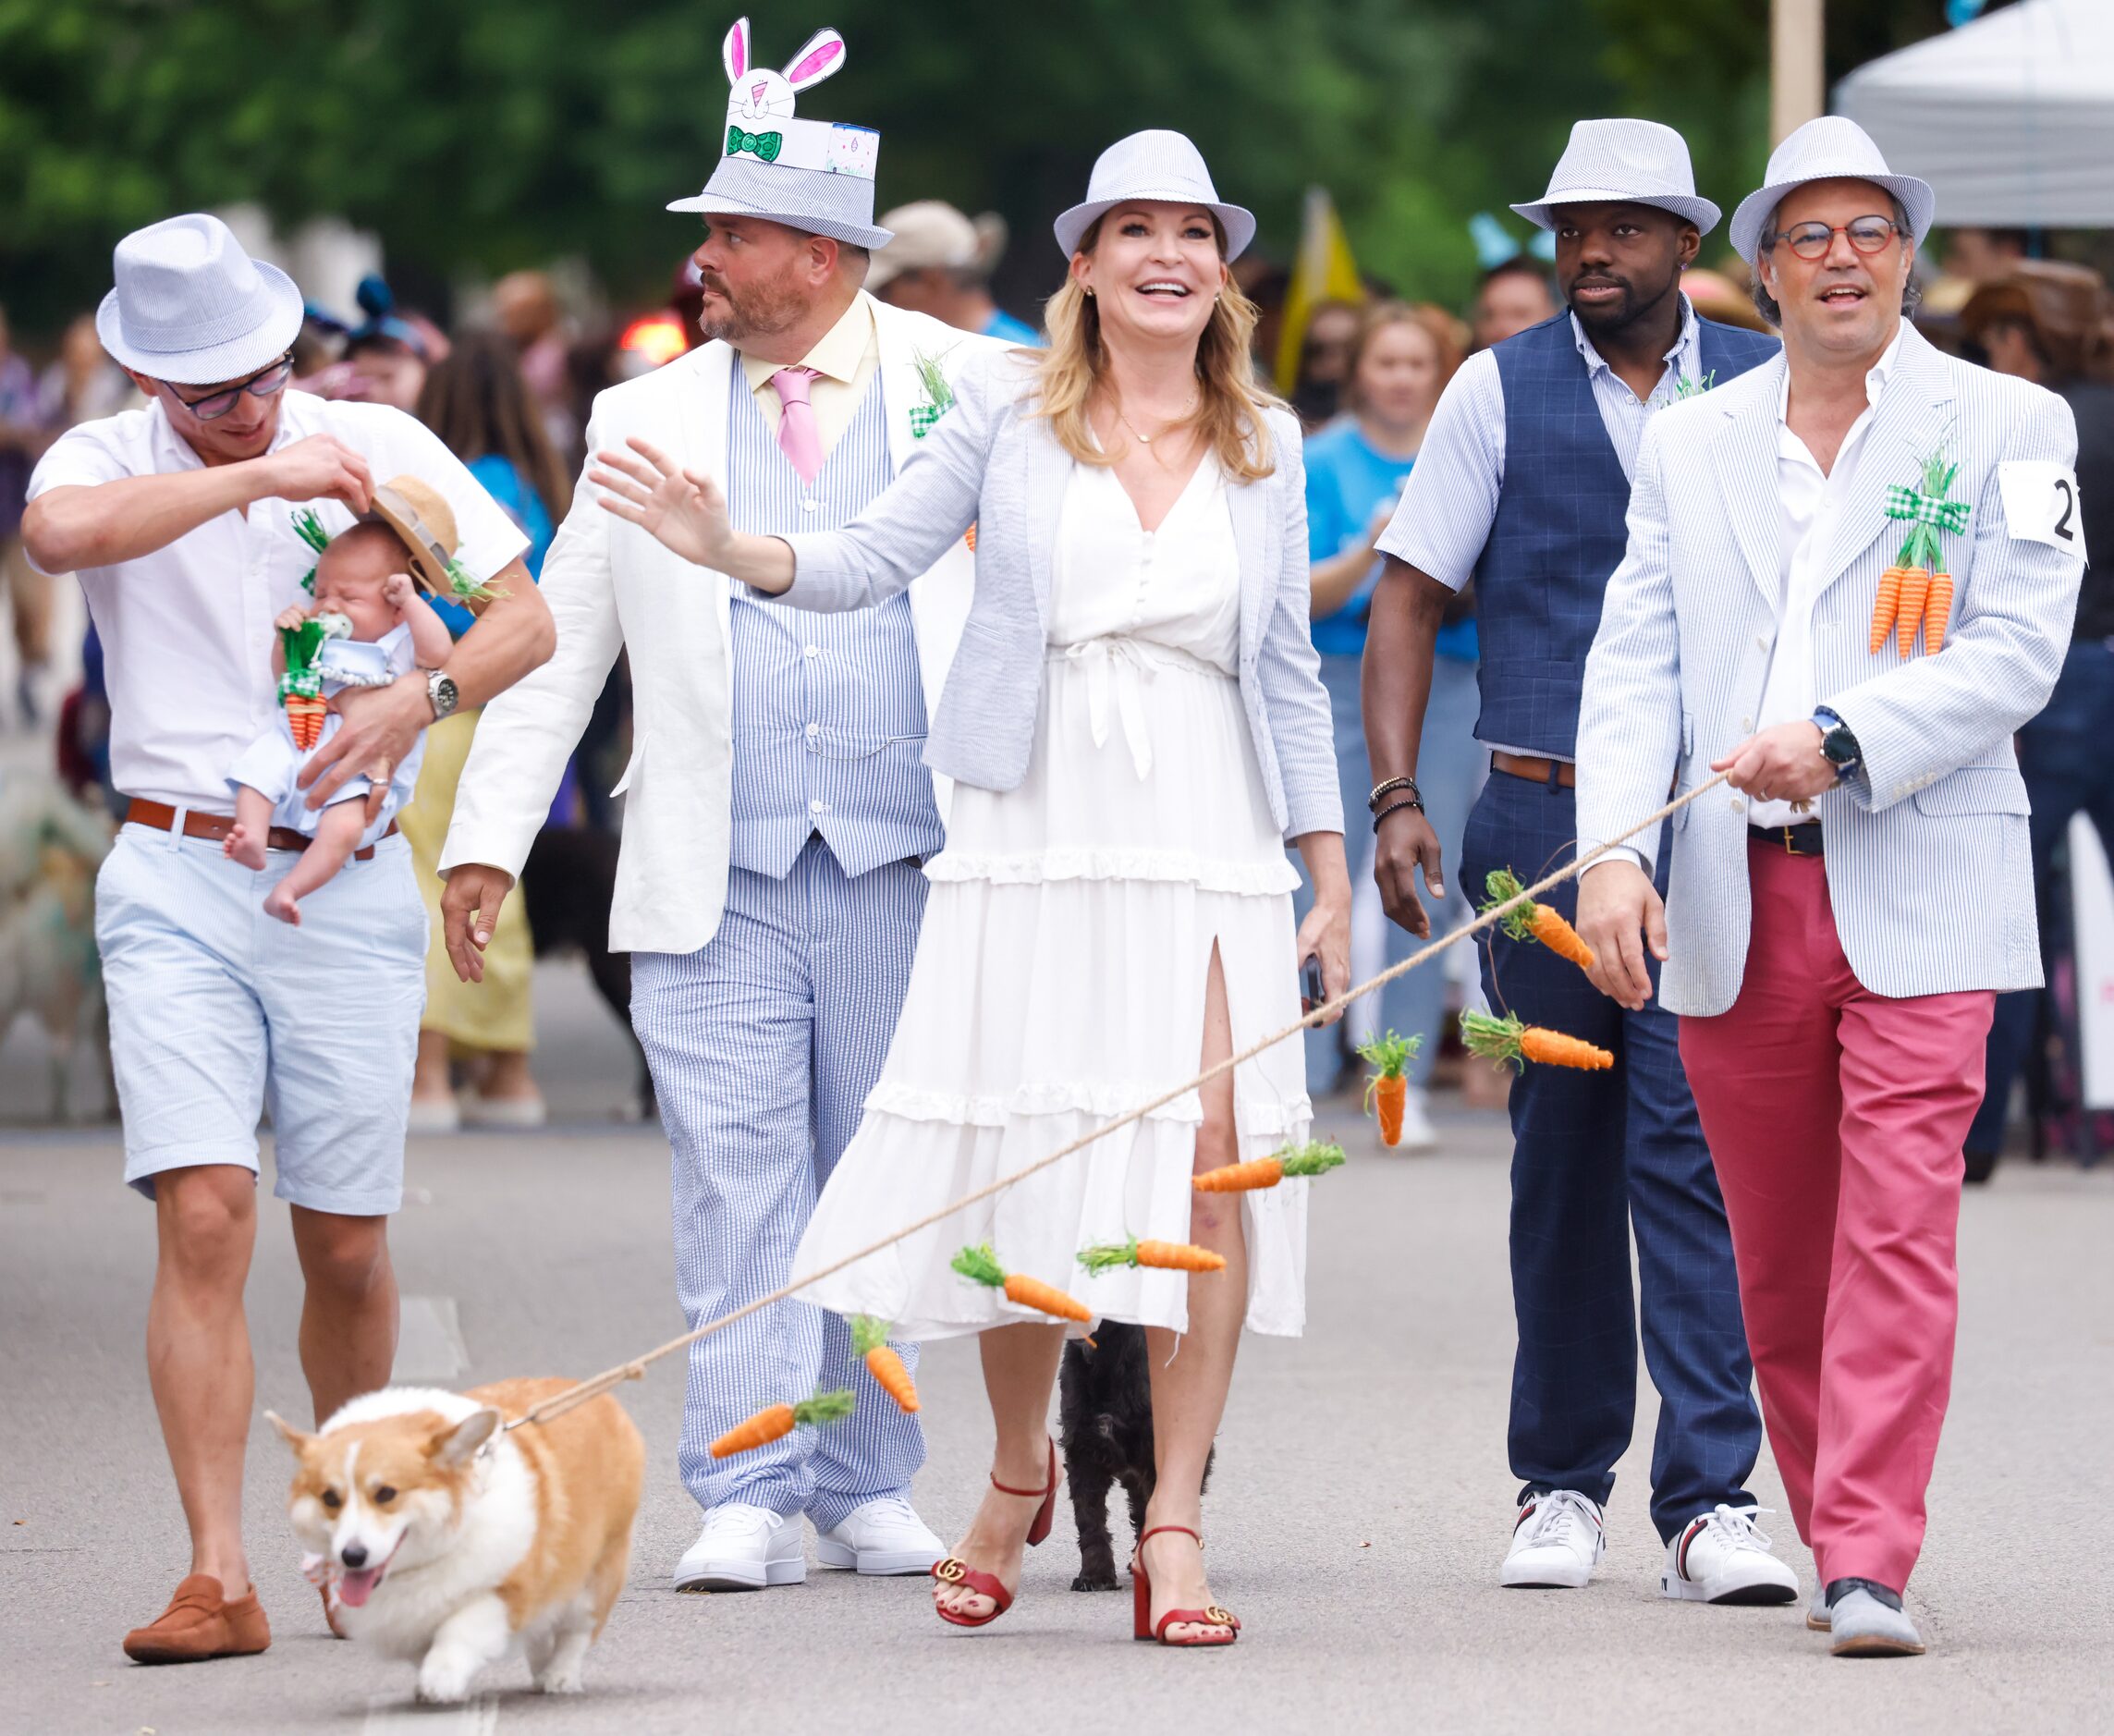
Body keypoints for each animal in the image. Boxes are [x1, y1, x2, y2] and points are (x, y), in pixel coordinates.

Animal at [268, 1378, 642, 1708]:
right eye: (330, 1498)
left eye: (386, 1493)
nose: (352, 1556)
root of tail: (603, 1399)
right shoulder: (407, 1620)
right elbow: (423, 1645)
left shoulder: (504, 1592)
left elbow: (459, 1633)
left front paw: (441, 1680)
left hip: (595, 1575)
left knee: (575, 1631)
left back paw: (559, 1677)